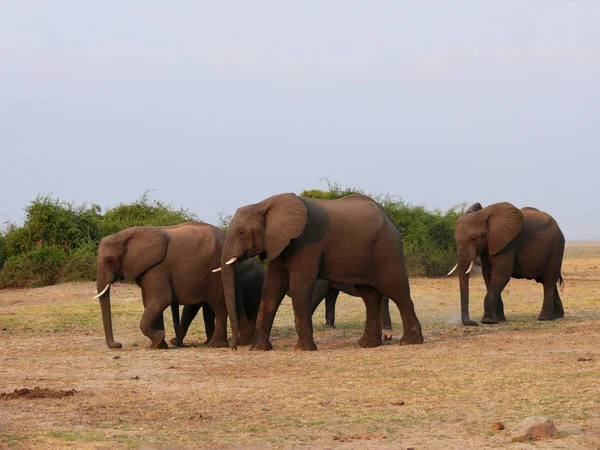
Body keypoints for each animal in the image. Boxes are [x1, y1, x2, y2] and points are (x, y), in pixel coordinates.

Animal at [93, 223, 262, 350]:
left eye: (109, 259)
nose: (118, 345)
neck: (125, 235)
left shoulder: (156, 268)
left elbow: (161, 299)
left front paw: (159, 339)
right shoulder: (148, 268)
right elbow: (149, 302)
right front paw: (158, 346)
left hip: (215, 273)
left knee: (219, 306)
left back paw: (215, 345)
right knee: (234, 301)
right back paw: (243, 342)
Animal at [213, 192, 424, 350]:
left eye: (241, 233)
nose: (234, 347)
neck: (264, 205)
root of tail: (389, 217)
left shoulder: (306, 242)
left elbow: (299, 286)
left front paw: (302, 349)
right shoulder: (279, 243)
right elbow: (272, 288)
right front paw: (259, 349)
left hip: (387, 249)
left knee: (397, 290)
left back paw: (410, 342)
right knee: (370, 295)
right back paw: (366, 344)